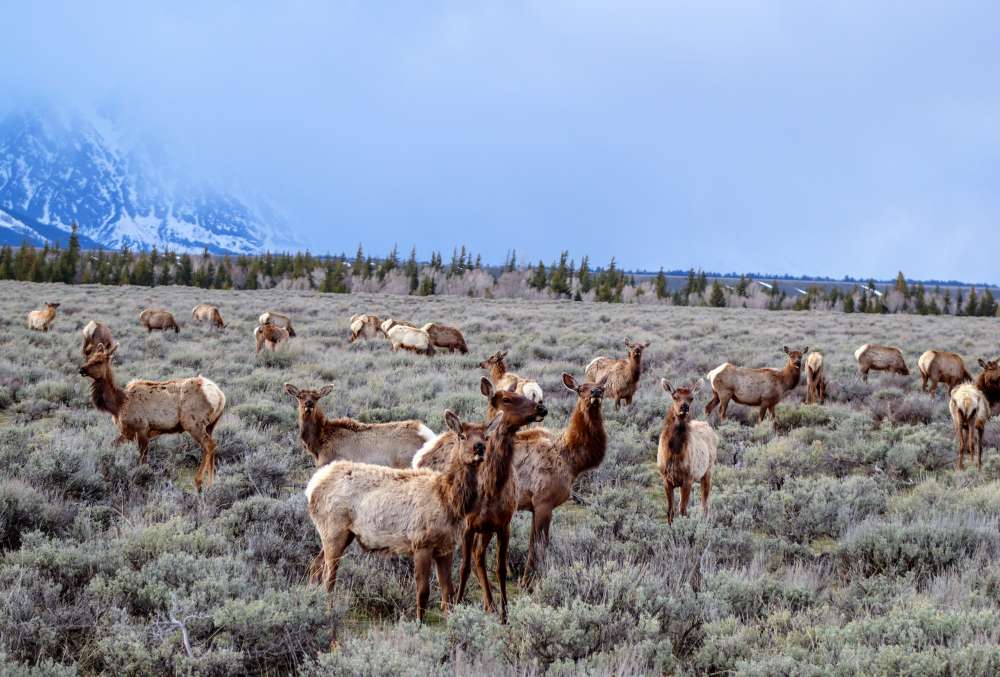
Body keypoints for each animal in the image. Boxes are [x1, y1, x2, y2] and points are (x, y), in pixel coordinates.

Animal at [78, 343, 226, 491]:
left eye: (99, 361)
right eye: (90, 357)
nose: (81, 369)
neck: (118, 405)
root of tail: (220, 396)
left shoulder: (142, 428)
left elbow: (143, 460)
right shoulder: (127, 433)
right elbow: (111, 446)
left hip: (193, 423)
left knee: (209, 445)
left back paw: (199, 482)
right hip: (210, 425)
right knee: (210, 447)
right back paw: (210, 484)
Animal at [306, 410, 500, 627]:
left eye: (486, 436)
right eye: (462, 436)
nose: (479, 448)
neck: (450, 501)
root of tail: (312, 486)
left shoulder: (446, 547)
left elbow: (448, 595)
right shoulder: (421, 543)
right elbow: (423, 592)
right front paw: (418, 624)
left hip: (341, 534)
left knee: (316, 567)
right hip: (333, 531)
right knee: (328, 577)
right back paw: (327, 614)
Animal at [657, 380, 718, 524]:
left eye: (691, 398)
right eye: (675, 396)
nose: (684, 407)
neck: (673, 453)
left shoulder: (687, 479)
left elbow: (683, 511)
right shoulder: (666, 478)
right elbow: (670, 511)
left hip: (708, 471)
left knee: (705, 503)